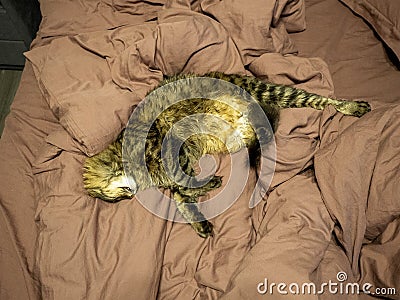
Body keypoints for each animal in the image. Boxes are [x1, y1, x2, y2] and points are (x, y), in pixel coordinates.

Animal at [82, 71, 372, 238]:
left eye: (115, 198)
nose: (129, 196)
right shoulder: (177, 167)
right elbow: (181, 196)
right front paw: (199, 219)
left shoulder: (174, 150)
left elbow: (183, 187)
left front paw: (207, 186)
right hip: (241, 134)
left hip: (273, 92)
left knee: (318, 100)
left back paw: (353, 106)